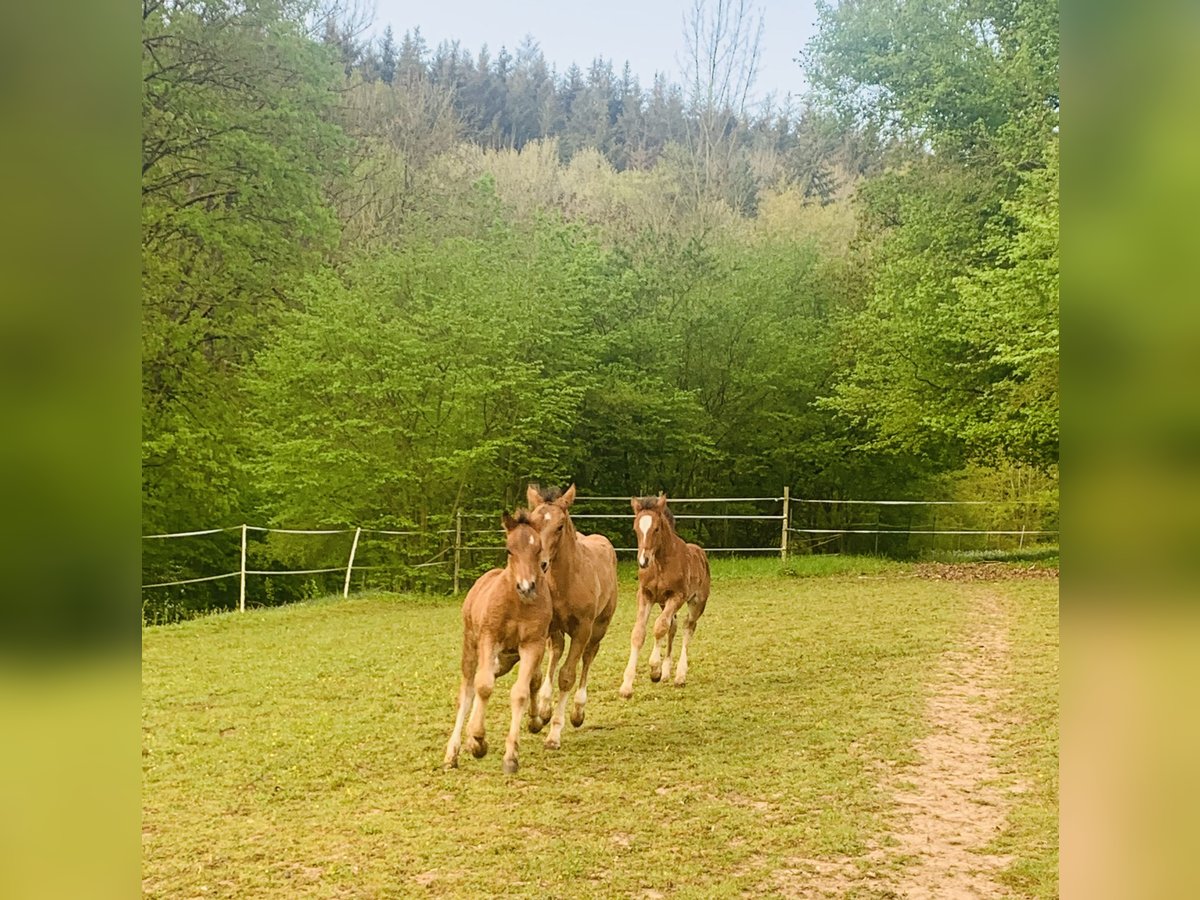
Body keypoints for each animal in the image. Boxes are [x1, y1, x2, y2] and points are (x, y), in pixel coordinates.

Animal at [444, 511, 549, 772]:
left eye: (538, 548)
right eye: (509, 549)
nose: (526, 587)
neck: (517, 605)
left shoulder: (533, 645)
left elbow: (521, 691)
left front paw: (510, 756)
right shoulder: (489, 638)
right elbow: (483, 686)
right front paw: (478, 740)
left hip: (505, 659)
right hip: (472, 648)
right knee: (468, 690)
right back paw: (453, 753)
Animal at [525, 487, 619, 753]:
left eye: (559, 526)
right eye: (532, 523)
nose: (541, 564)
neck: (565, 581)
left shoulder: (582, 630)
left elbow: (567, 676)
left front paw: (554, 734)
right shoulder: (545, 626)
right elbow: (537, 674)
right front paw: (537, 719)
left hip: (599, 628)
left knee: (587, 657)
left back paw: (577, 712)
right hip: (556, 631)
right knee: (556, 650)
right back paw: (545, 707)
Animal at [624, 494, 705, 696]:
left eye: (656, 528)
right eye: (635, 528)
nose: (643, 561)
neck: (660, 564)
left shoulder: (676, 596)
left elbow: (659, 627)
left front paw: (655, 670)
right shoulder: (645, 595)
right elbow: (639, 633)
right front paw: (626, 686)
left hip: (696, 604)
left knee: (688, 627)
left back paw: (680, 676)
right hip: (662, 603)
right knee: (673, 626)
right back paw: (667, 672)